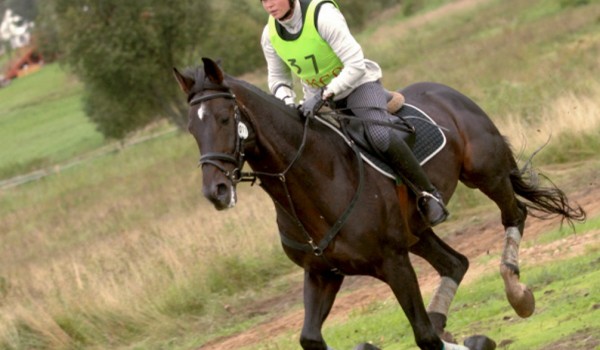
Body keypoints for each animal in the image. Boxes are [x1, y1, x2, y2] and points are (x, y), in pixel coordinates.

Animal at [173, 58, 584, 350]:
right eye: (192, 130)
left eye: (224, 119)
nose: (216, 192)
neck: (315, 178)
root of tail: (445, 91)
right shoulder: (322, 273)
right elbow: (310, 338)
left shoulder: (393, 263)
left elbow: (424, 337)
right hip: (417, 232)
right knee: (456, 263)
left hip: (486, 174)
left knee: (515, 215)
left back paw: (517, 294)